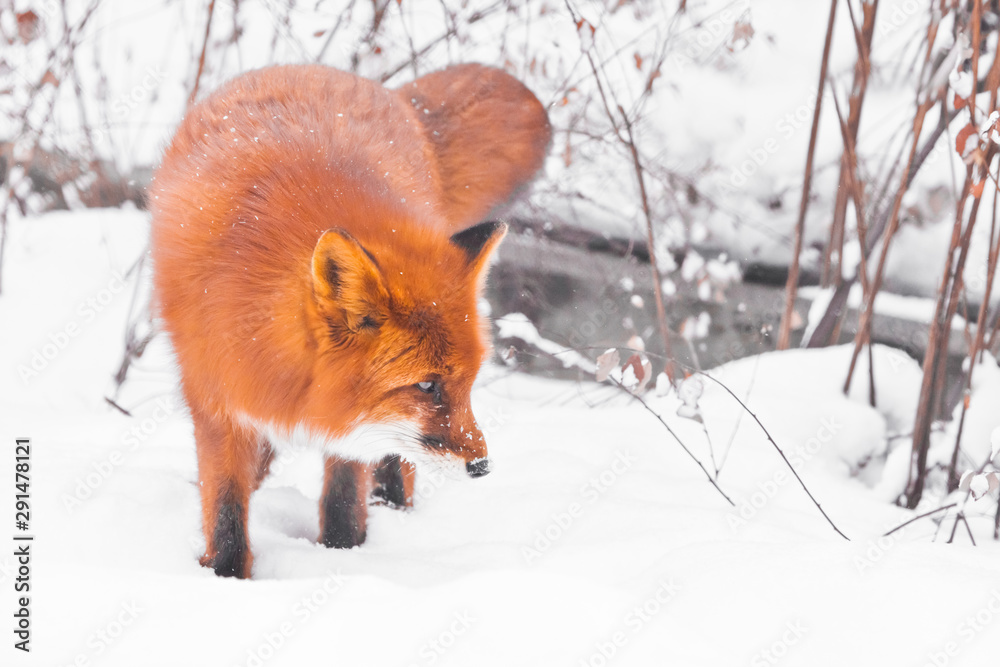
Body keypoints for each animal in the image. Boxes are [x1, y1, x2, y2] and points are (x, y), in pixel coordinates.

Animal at [149, 63, 550, 578]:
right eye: (427, 385)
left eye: (468, 383)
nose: (482, 467)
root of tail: (325, 71)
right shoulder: (218, 403)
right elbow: (225, 514)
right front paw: (225, 576)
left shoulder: (352, 421)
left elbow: (343, 501)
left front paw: (343, 556)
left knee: (396, 468)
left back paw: (393, 507)